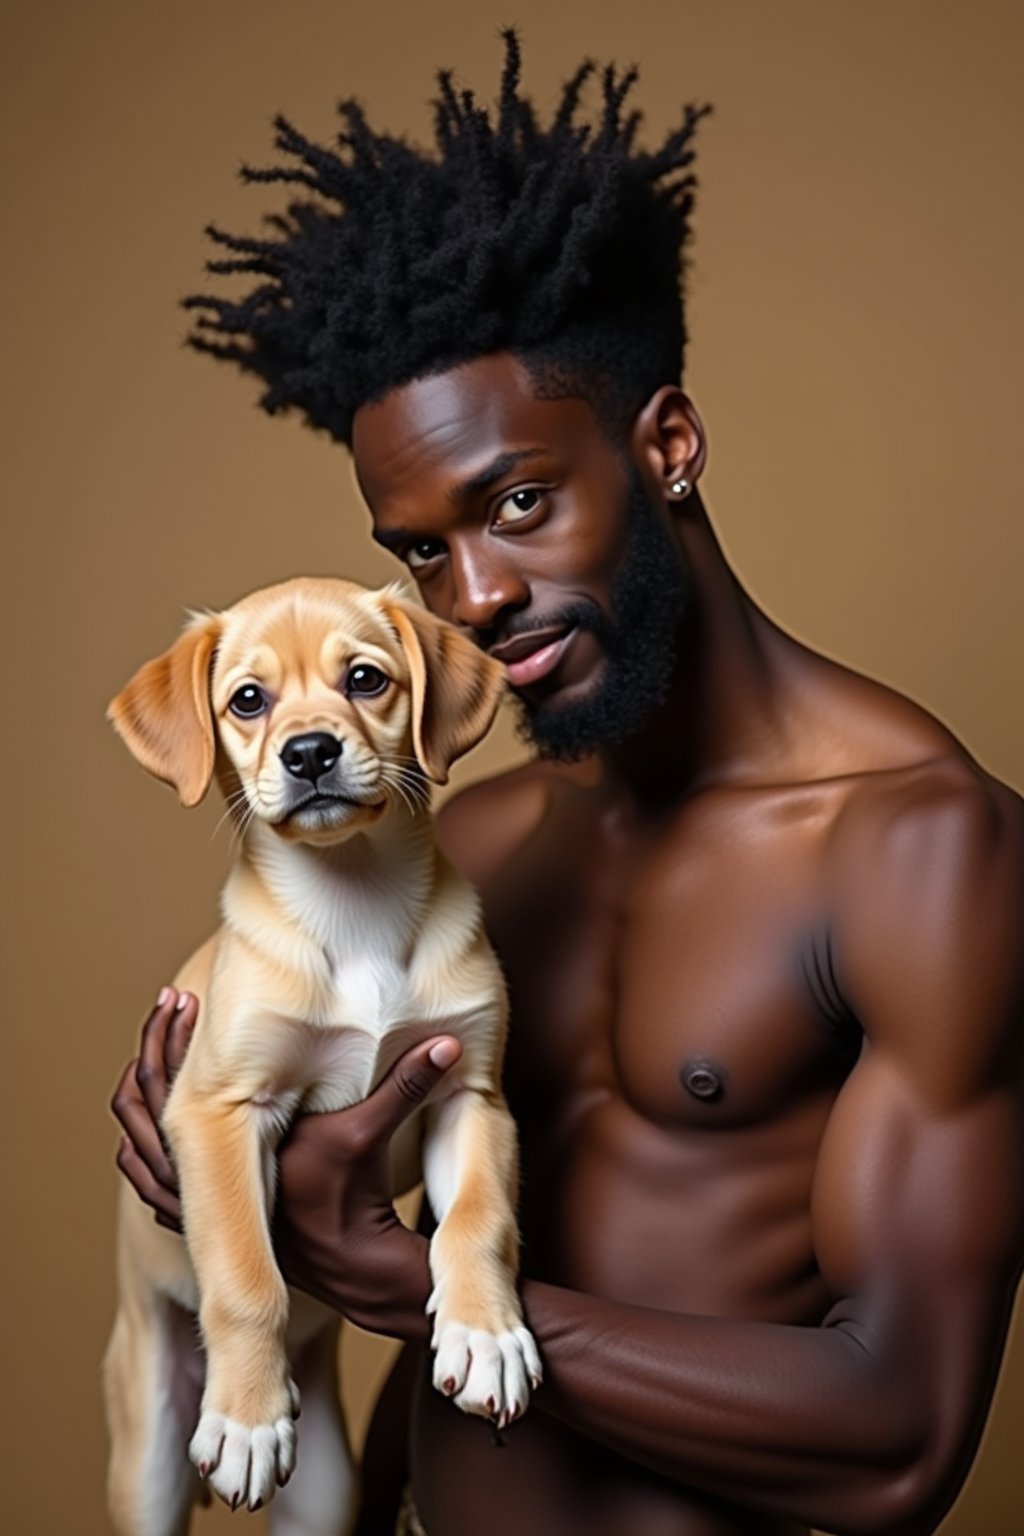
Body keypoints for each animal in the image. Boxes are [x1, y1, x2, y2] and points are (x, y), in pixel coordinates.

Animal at [102, 577, 540, 1536]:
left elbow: (478, 1221)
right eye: (248, 700)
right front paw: (247, 1418)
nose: (309, 753)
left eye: (366, 679)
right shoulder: (218, 1110)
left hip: (330, 1491)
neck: (356, 898)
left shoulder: (469, 1092)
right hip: (146, 1459)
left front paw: (487, 1336)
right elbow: (244, 1275)